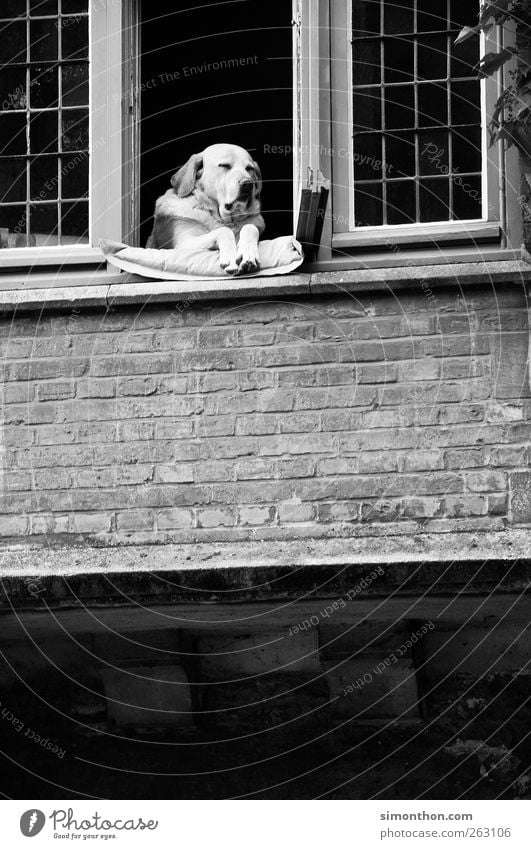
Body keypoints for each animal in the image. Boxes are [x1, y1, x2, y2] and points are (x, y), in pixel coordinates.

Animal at [148, 144, 266, 274]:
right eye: (224, 165)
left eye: (250, 168)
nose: (248, 183)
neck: (223, 219)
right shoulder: (183, 243)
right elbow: (223, 231)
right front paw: (230, 258)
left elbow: (250, 227)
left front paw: (248, 254)